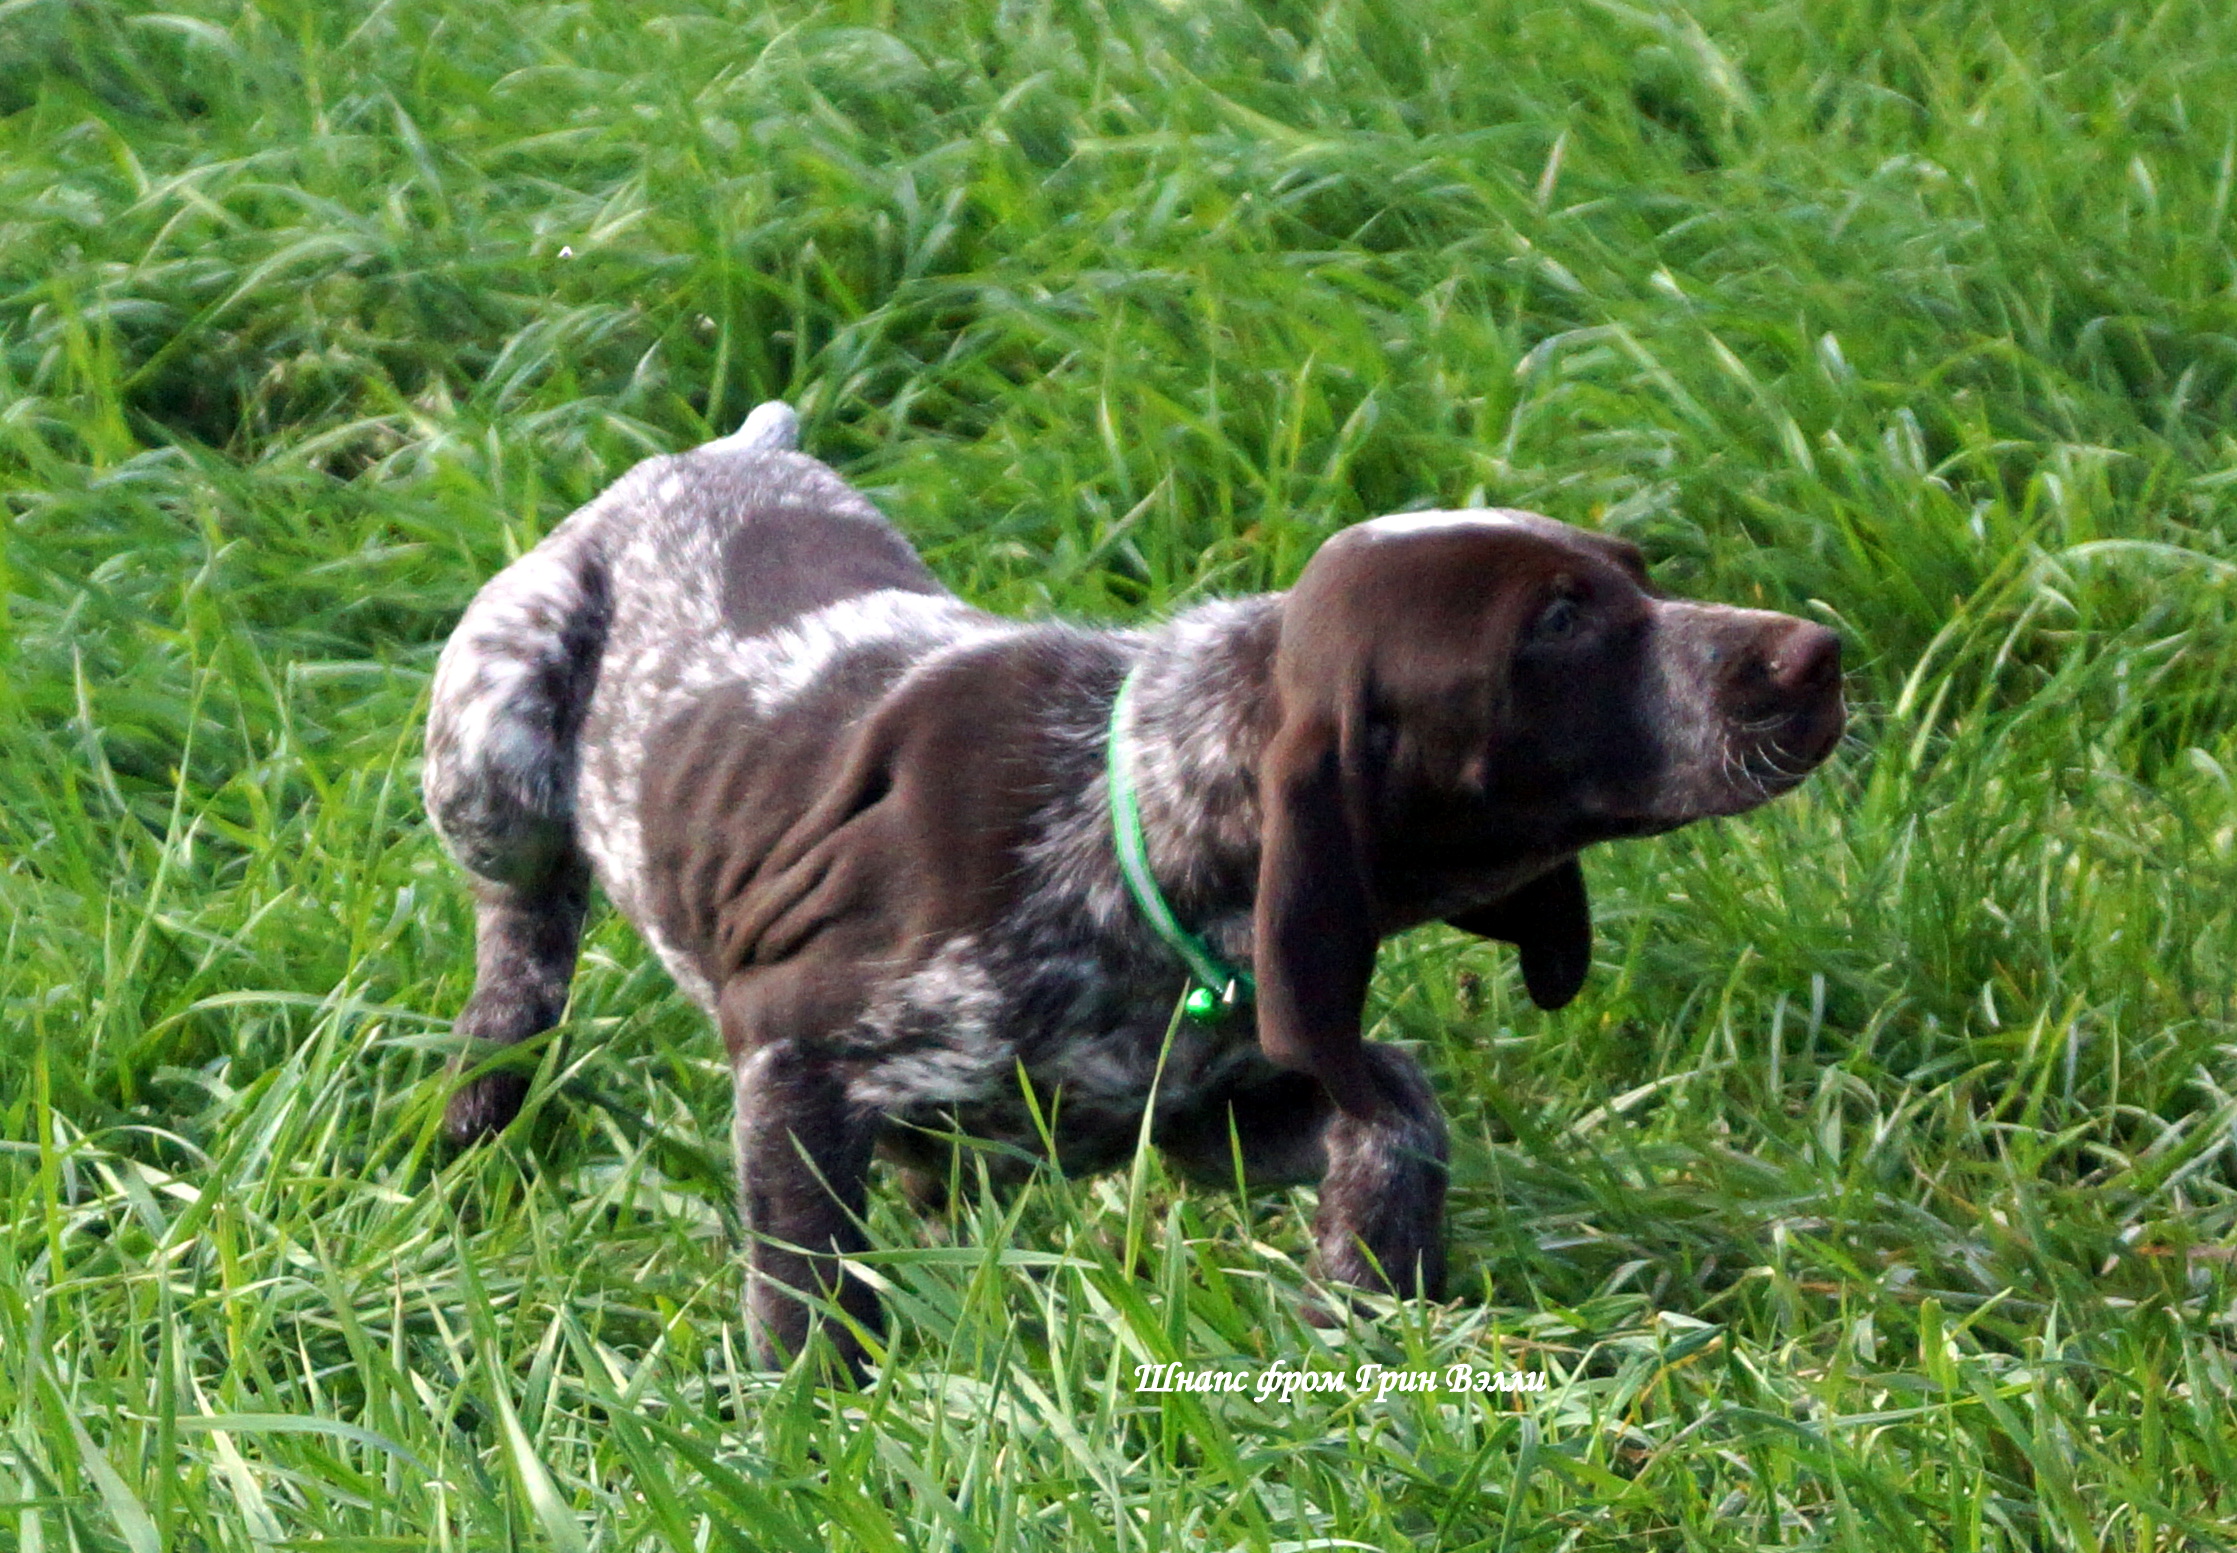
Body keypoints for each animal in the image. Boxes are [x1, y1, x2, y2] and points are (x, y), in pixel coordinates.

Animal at [423, 402, 1844, 1369]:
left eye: (1638, 573)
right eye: (1554, 625)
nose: (1817, 651)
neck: (1139, 811)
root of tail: (720, 450)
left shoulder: (1196, 1107)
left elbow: (1395, 1104)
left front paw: (1361, 1298)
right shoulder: (791, 1058)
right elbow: (805, 1295)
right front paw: (804, 1425)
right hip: (493, 745)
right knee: (521, 943)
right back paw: (478, 1111)